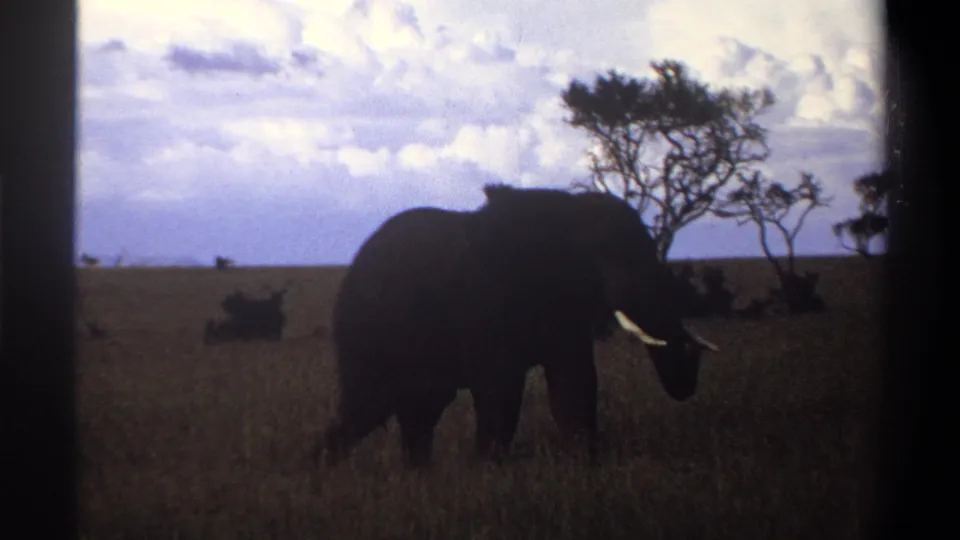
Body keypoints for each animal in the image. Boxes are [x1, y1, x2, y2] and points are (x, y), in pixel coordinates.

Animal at [315, 184, 719, 468]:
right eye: (604, 259)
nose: (686, 383)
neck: (567, 213)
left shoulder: (566, 311)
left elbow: (575, 383)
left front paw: (586, 465)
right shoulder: (486, 301)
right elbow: (501, 389)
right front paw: (489, 471)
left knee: (418, 411)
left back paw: (417, 474)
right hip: (367, 337)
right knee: (367, 407)